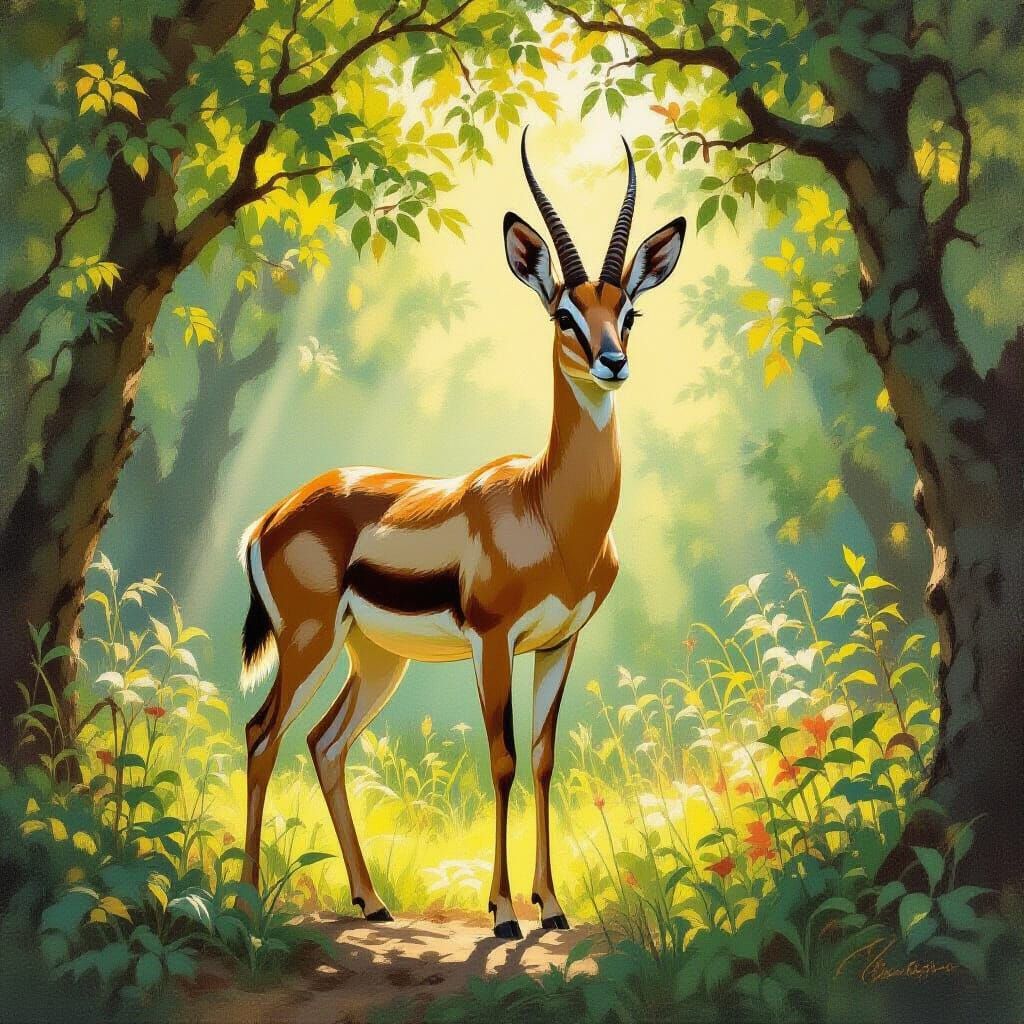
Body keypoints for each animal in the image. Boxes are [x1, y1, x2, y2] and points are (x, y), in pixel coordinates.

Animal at [237, 130, 686, 939]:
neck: (548, 507)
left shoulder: (559, 643)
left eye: (628, 311)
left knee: (324, 744)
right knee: (265, 735)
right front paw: (504, 913)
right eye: (563, 314)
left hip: (376, 658)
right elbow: (501, 759)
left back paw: (374, 902)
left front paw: (553, 907)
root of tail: (274, 513)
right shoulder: (494, 640)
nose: (614, 362)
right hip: (308, 642)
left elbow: (541, 760)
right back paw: (249, 899)